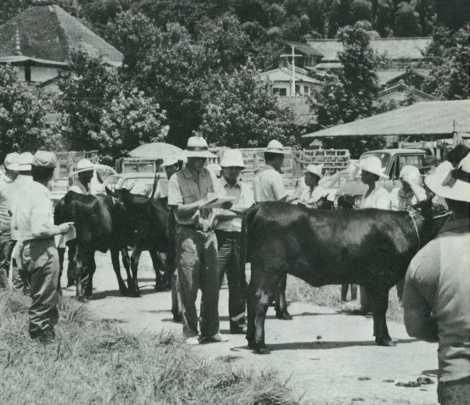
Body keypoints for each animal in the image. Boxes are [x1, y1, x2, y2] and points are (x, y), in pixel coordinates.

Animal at [241, 200, 450, 352]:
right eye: (440, 208)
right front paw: (386, 339)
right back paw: (260, 345)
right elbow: (381, 308)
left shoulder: (372, 282)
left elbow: (376, 310)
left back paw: (250, 340)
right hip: (269, 268)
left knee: (250, 296)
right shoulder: (381, 278)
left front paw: (378, 337)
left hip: (259, 268)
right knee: (260, 298)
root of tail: (260, 206)